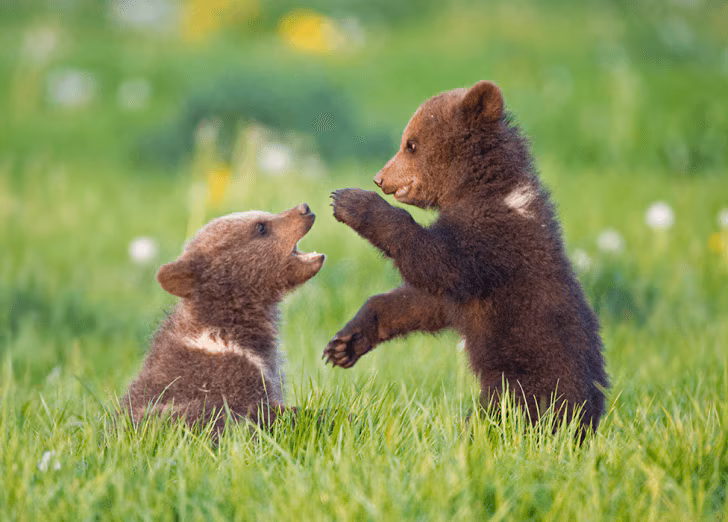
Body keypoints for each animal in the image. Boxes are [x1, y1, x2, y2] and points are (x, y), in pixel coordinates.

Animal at [323, 81, 609, 434]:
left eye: (411, 144)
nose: (380, 177)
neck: (478, 189)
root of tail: (590, 420)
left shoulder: (491, 243)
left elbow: (436, 262)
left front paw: (351, 202)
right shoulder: (464, 290)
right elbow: (419, 301)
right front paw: (344, 343)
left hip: (529, 378)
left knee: (508, 416)